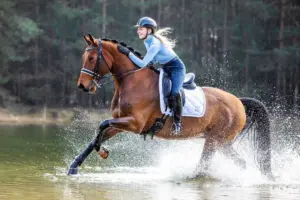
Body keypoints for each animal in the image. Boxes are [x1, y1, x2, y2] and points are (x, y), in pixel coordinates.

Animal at [68, 33, 274, 179]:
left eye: (92, 58)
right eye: (84, 57)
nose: (82, 86)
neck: (132, 81)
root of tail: (238, 102)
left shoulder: (134, 124)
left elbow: (102, 125)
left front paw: (101, 151)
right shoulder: (121, 123)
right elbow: (99, 133)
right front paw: (75, 166)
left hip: (215, 140)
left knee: (205, 164)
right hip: (222, 142)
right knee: (240, 162)